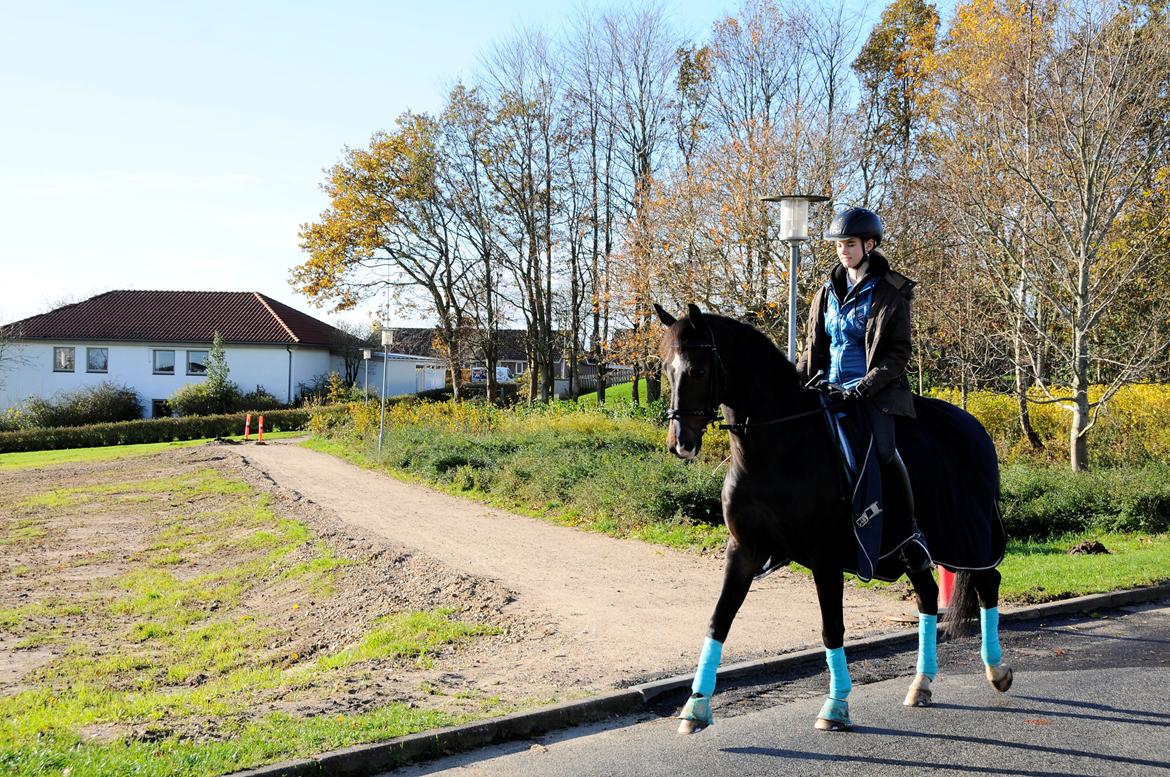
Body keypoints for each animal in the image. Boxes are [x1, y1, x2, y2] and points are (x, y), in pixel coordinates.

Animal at [655, 303, 1013, 733]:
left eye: (698, 370)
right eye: (665, 369)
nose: (680, 443)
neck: (779, 449)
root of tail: (976, 428)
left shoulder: (824, 557)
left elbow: (832, 628)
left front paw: (836, 704)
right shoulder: (743, 550)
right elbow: (718, 620)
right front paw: (696, 706)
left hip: (967, 538)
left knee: (987, 582)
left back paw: (996, 671)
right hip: (918, 551)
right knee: (928, 597)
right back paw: (921, 683)